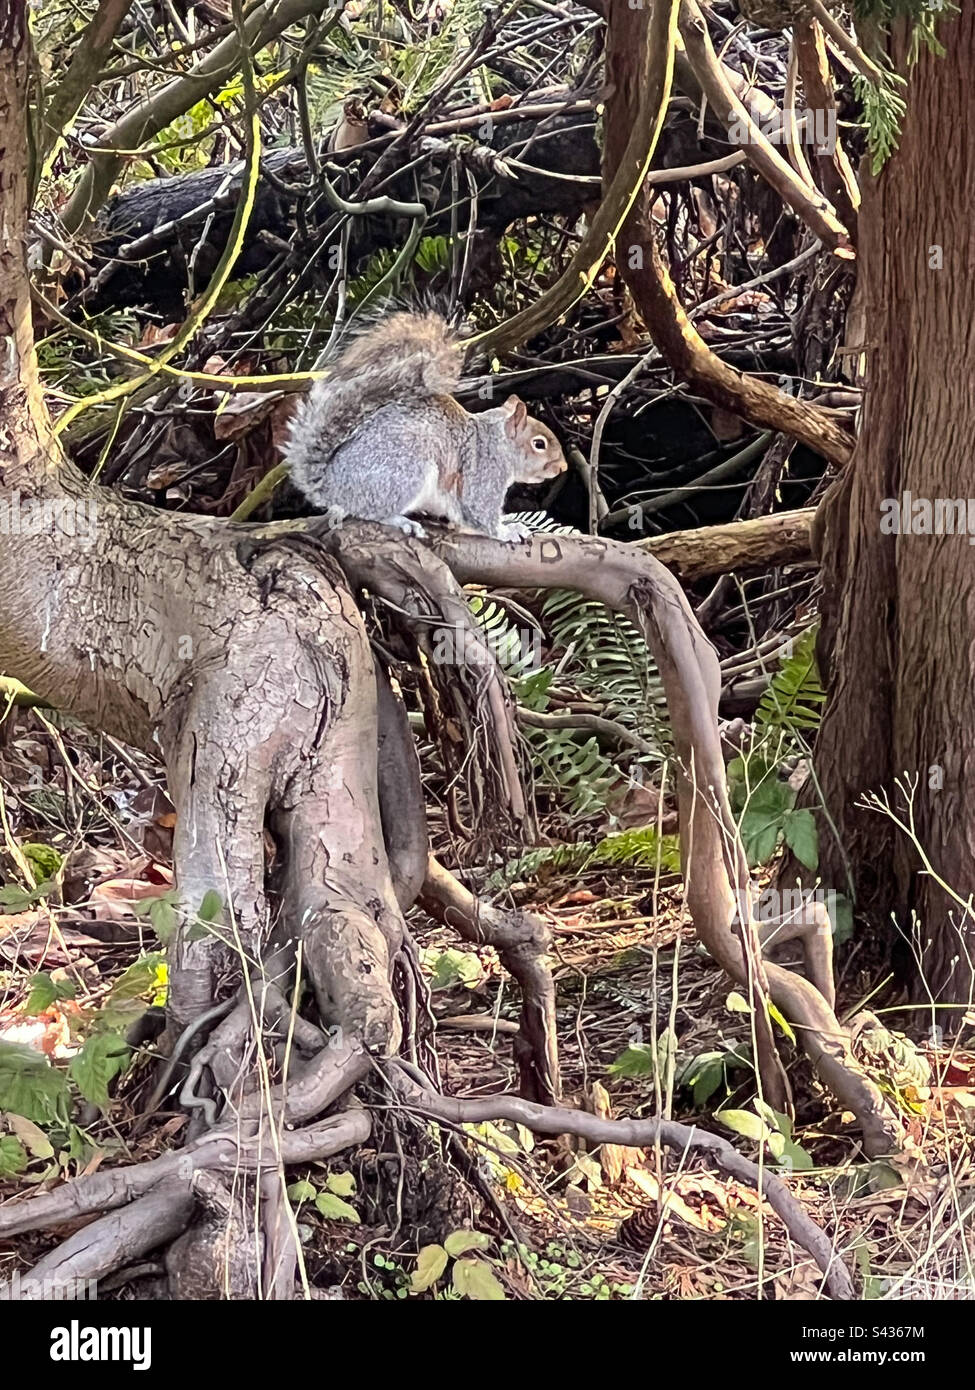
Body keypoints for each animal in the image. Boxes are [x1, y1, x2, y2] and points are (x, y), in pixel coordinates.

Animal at [286, 311, 568, 541]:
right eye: (539, 444)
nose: (563, 467)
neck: (496, 443)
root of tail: (330, 486)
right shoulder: (483, 473)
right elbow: (479, 513)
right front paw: (508, 531)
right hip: (405, 472)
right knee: (371, 512)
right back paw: (402, 521)